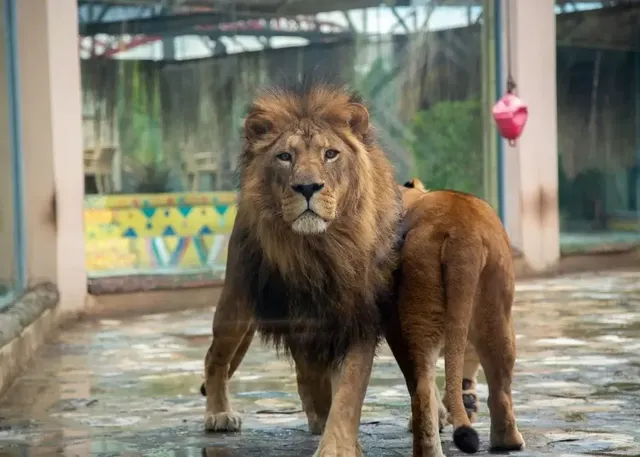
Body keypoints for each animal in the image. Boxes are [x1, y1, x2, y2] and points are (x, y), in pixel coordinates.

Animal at [201, 81, 403, 457]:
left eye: (331, 154)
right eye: (285, 157)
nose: (308, 187)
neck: (321, 249)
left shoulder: (359, 316)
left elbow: (348, 390)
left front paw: (337, 443)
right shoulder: (303, 316)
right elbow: (318, 375)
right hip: (236, 303)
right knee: (215, 358)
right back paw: (219, 413)